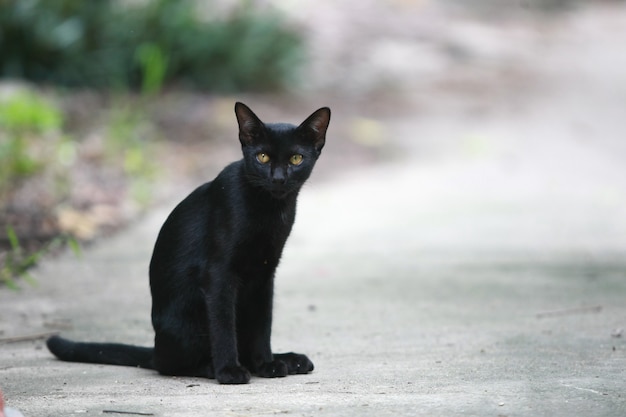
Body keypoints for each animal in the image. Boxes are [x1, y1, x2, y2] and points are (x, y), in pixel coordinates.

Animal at [46, 101, 330, 384]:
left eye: (296, 159)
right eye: (262, 157)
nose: (279, 178)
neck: (270, 209)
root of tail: (156, 346)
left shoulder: (265, 273)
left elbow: (263, 325)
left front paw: (267, 364)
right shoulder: (218, 272)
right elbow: (223, 326)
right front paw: (229, 371)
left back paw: (288, 360)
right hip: (188, 320)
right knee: (169, 364)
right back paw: (211, 367)